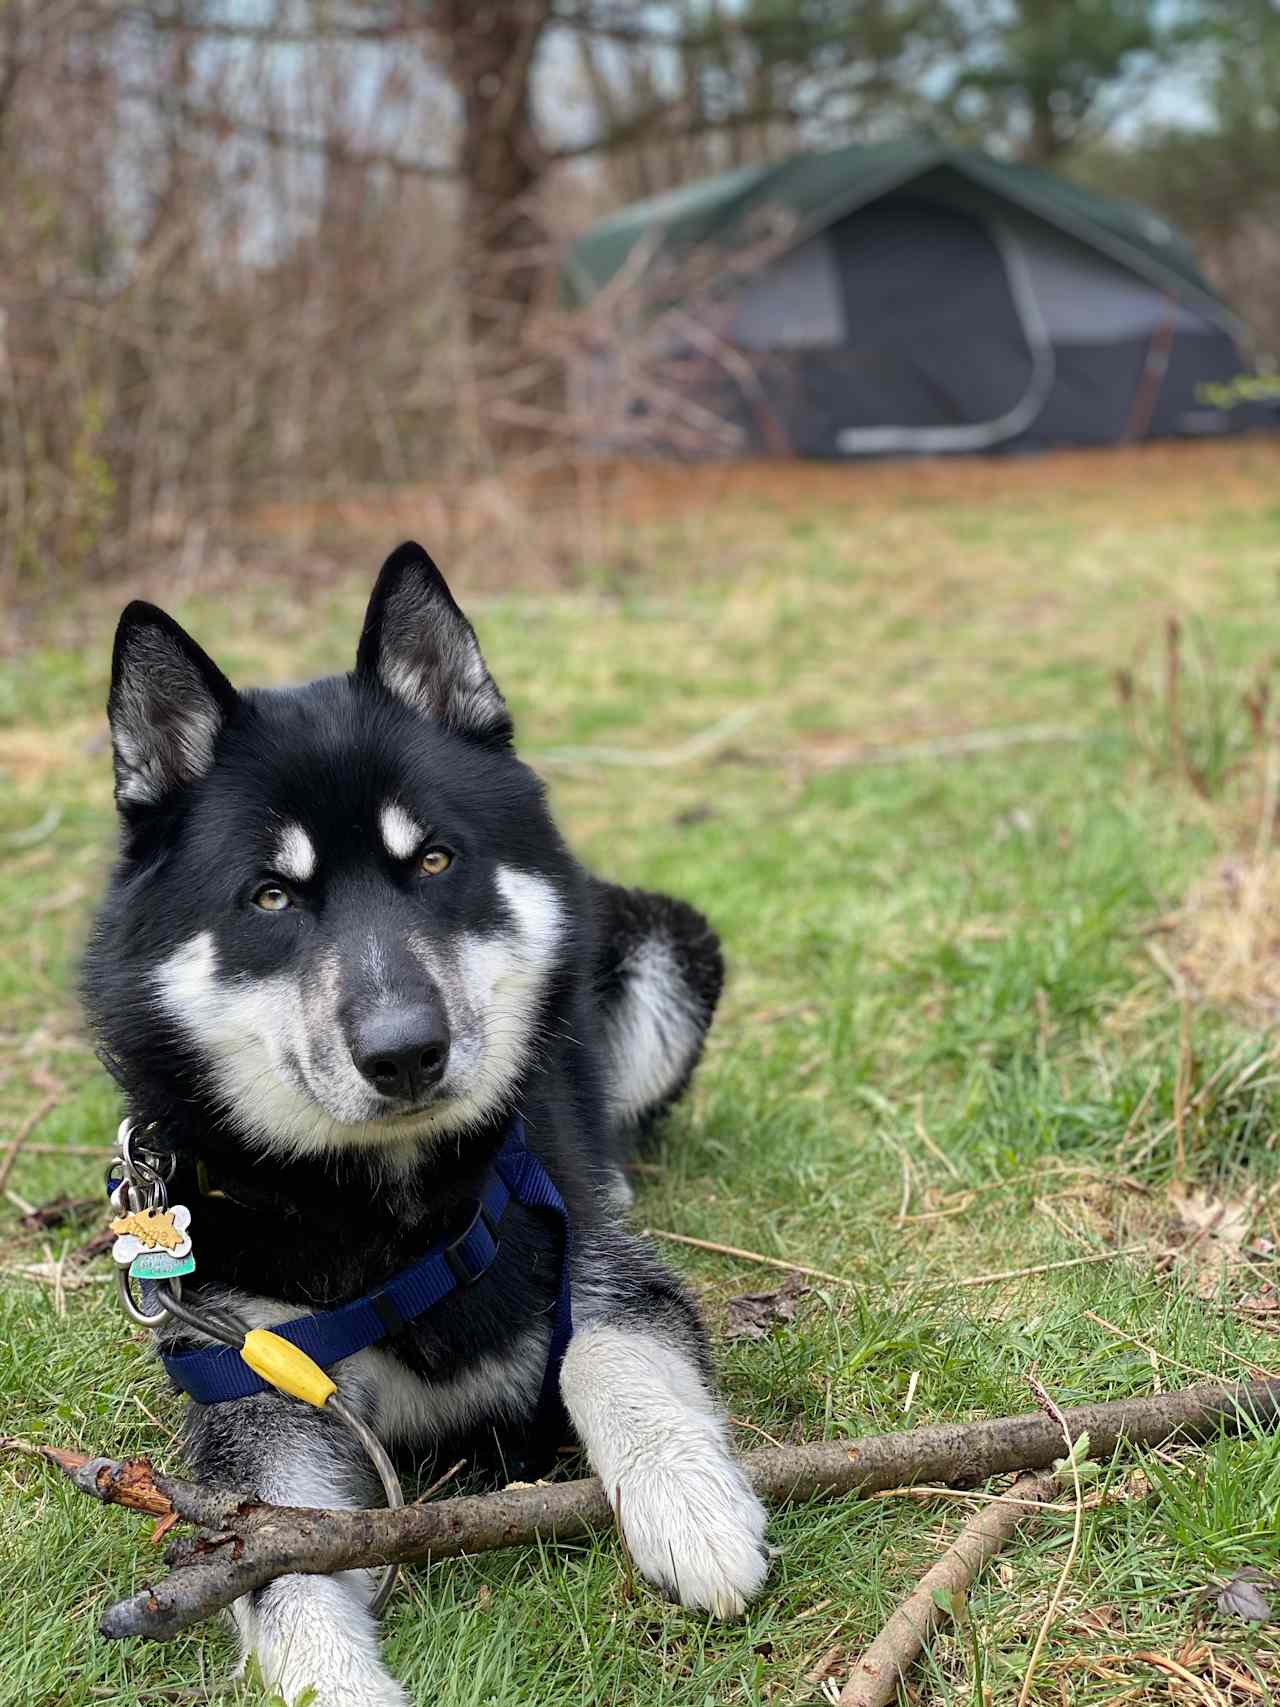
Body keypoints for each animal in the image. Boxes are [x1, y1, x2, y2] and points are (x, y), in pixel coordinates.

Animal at [90, 546, 771, 1707]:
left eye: (437, 863)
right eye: (271, 897)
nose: (407, 1051)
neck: (384, 1214)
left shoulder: (585, 1251)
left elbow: (609, 1350)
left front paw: (690, 1505)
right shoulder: (260, 1389)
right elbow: (275, 1553)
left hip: (663, 949)